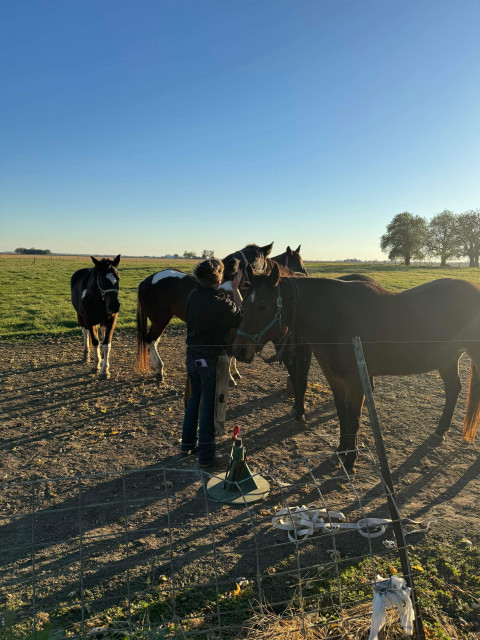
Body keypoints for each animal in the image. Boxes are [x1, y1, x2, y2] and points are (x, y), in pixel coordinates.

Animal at [233, 264, 480, 470]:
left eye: (262, 306)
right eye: (244, 303)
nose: (239, 350)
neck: (337, 319)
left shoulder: (356, 381)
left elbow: (353, 417)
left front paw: (351, 459)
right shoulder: (335, 379)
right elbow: (342, 415)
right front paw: (341, 451)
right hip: (447, 359)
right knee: (453, 389)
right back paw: (439, 432)